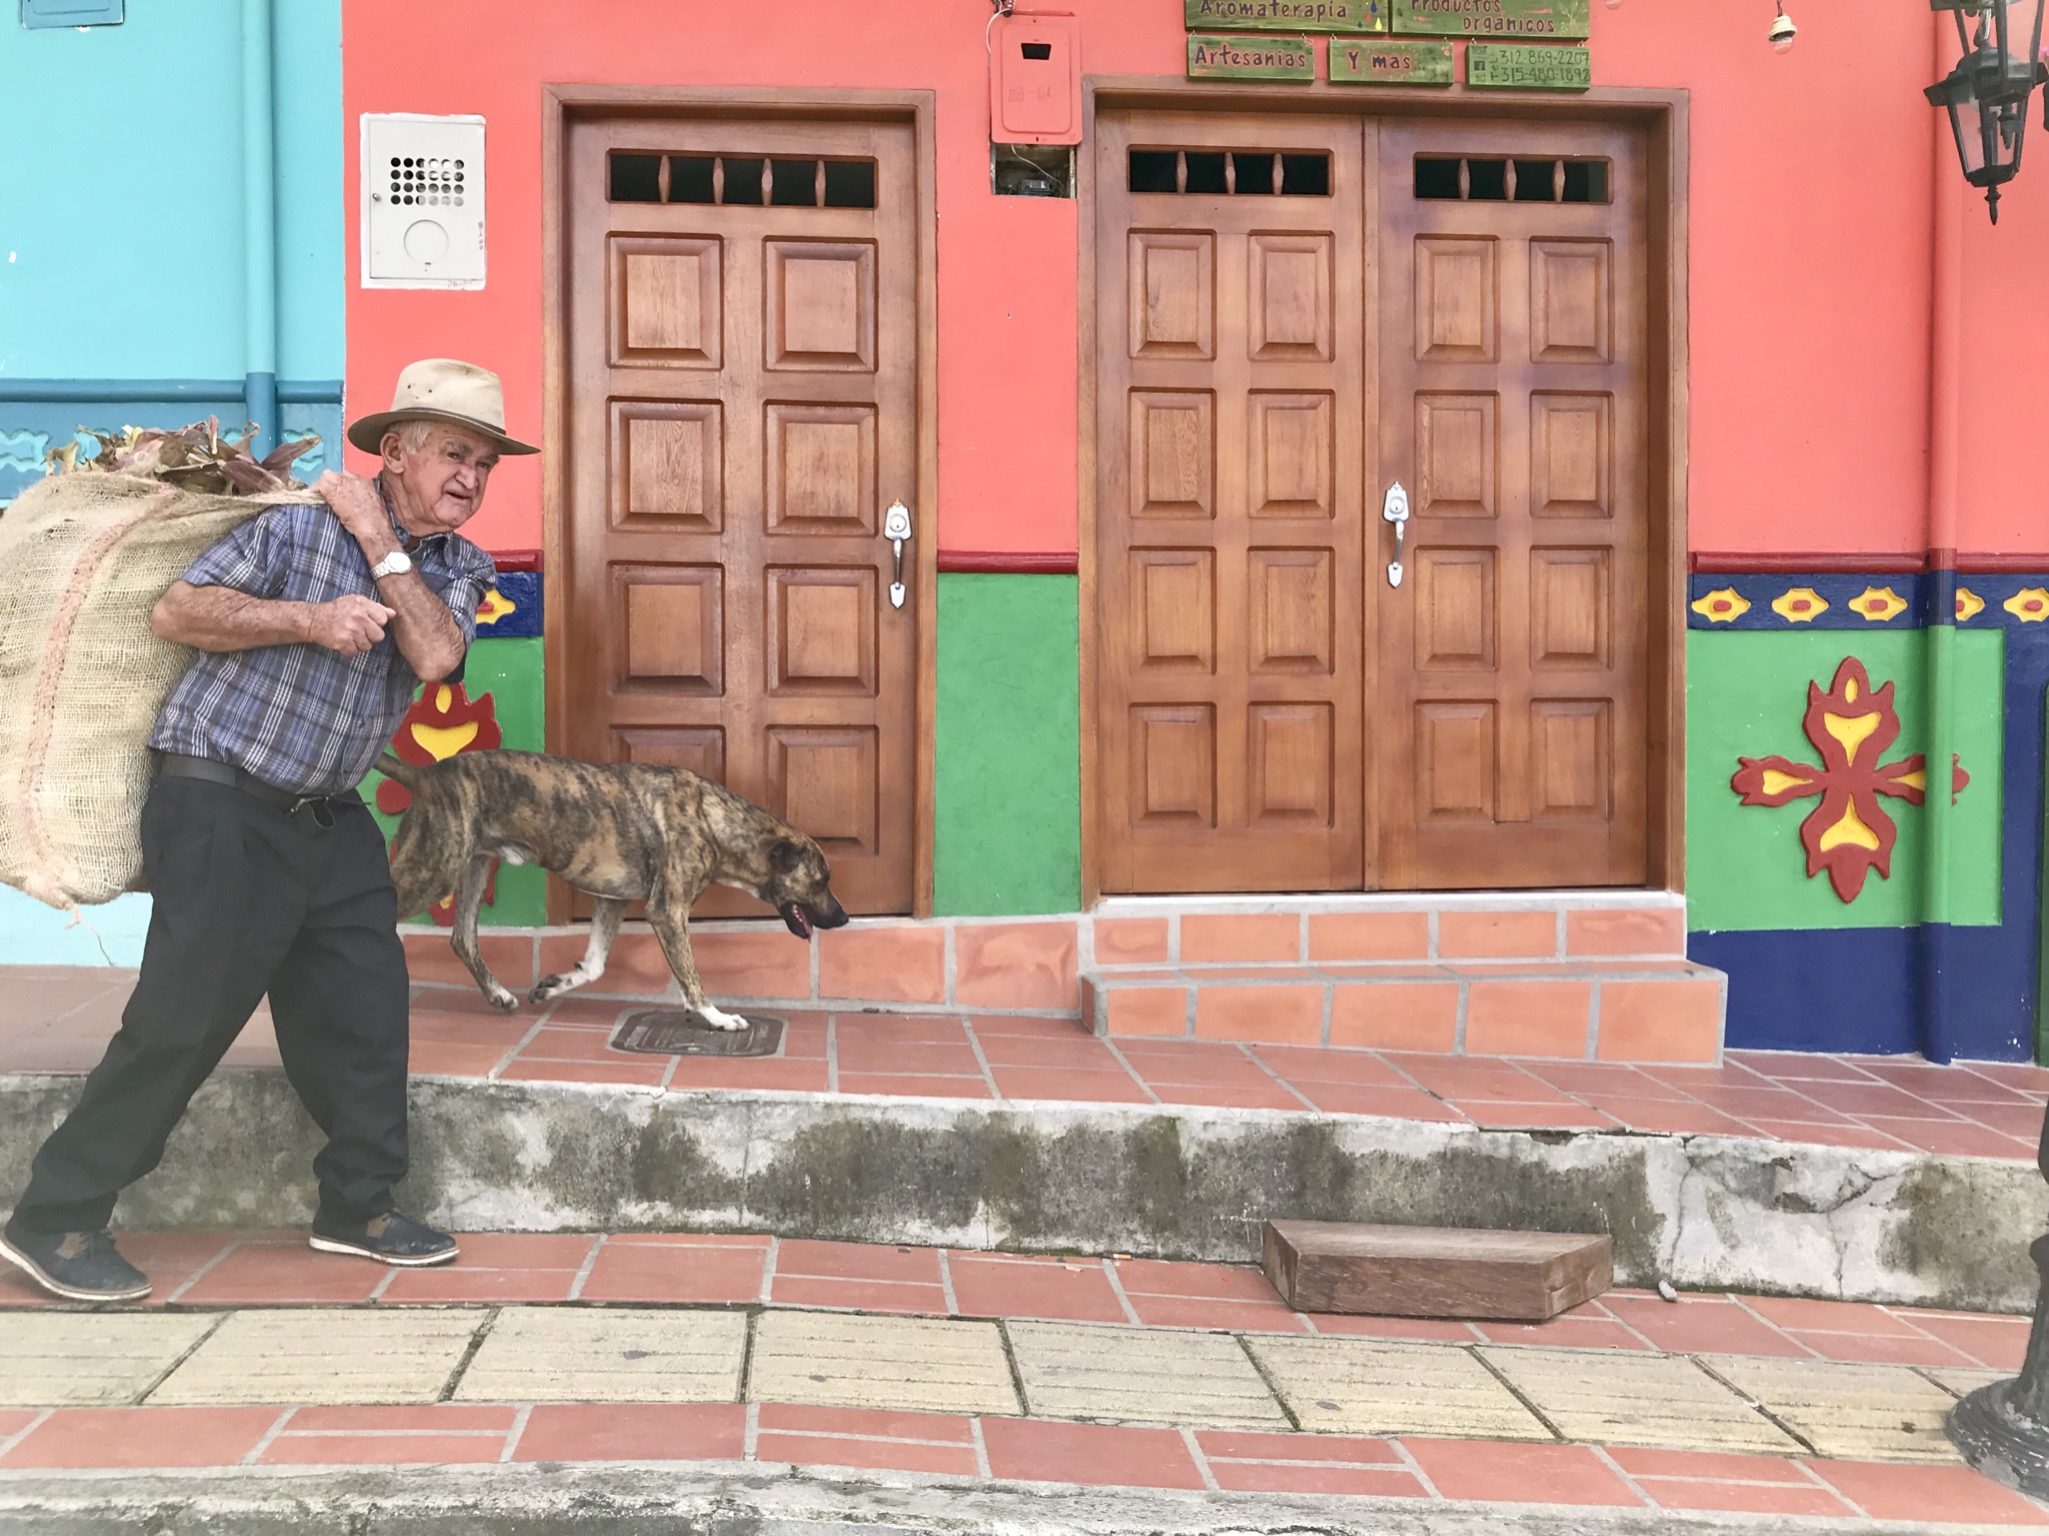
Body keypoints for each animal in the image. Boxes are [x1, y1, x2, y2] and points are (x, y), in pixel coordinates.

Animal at [383, 753, 848, 1028]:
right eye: (820, 880)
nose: (843, 918)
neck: (715, 819)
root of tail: (427, 774)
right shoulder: (667, 911)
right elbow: (691, 975)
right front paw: (715, 1016)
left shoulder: (612, 899)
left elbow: (595, 965)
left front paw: (553, 985)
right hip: (434, 869)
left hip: (474, 866)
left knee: (463, 938)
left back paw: (497, 993)